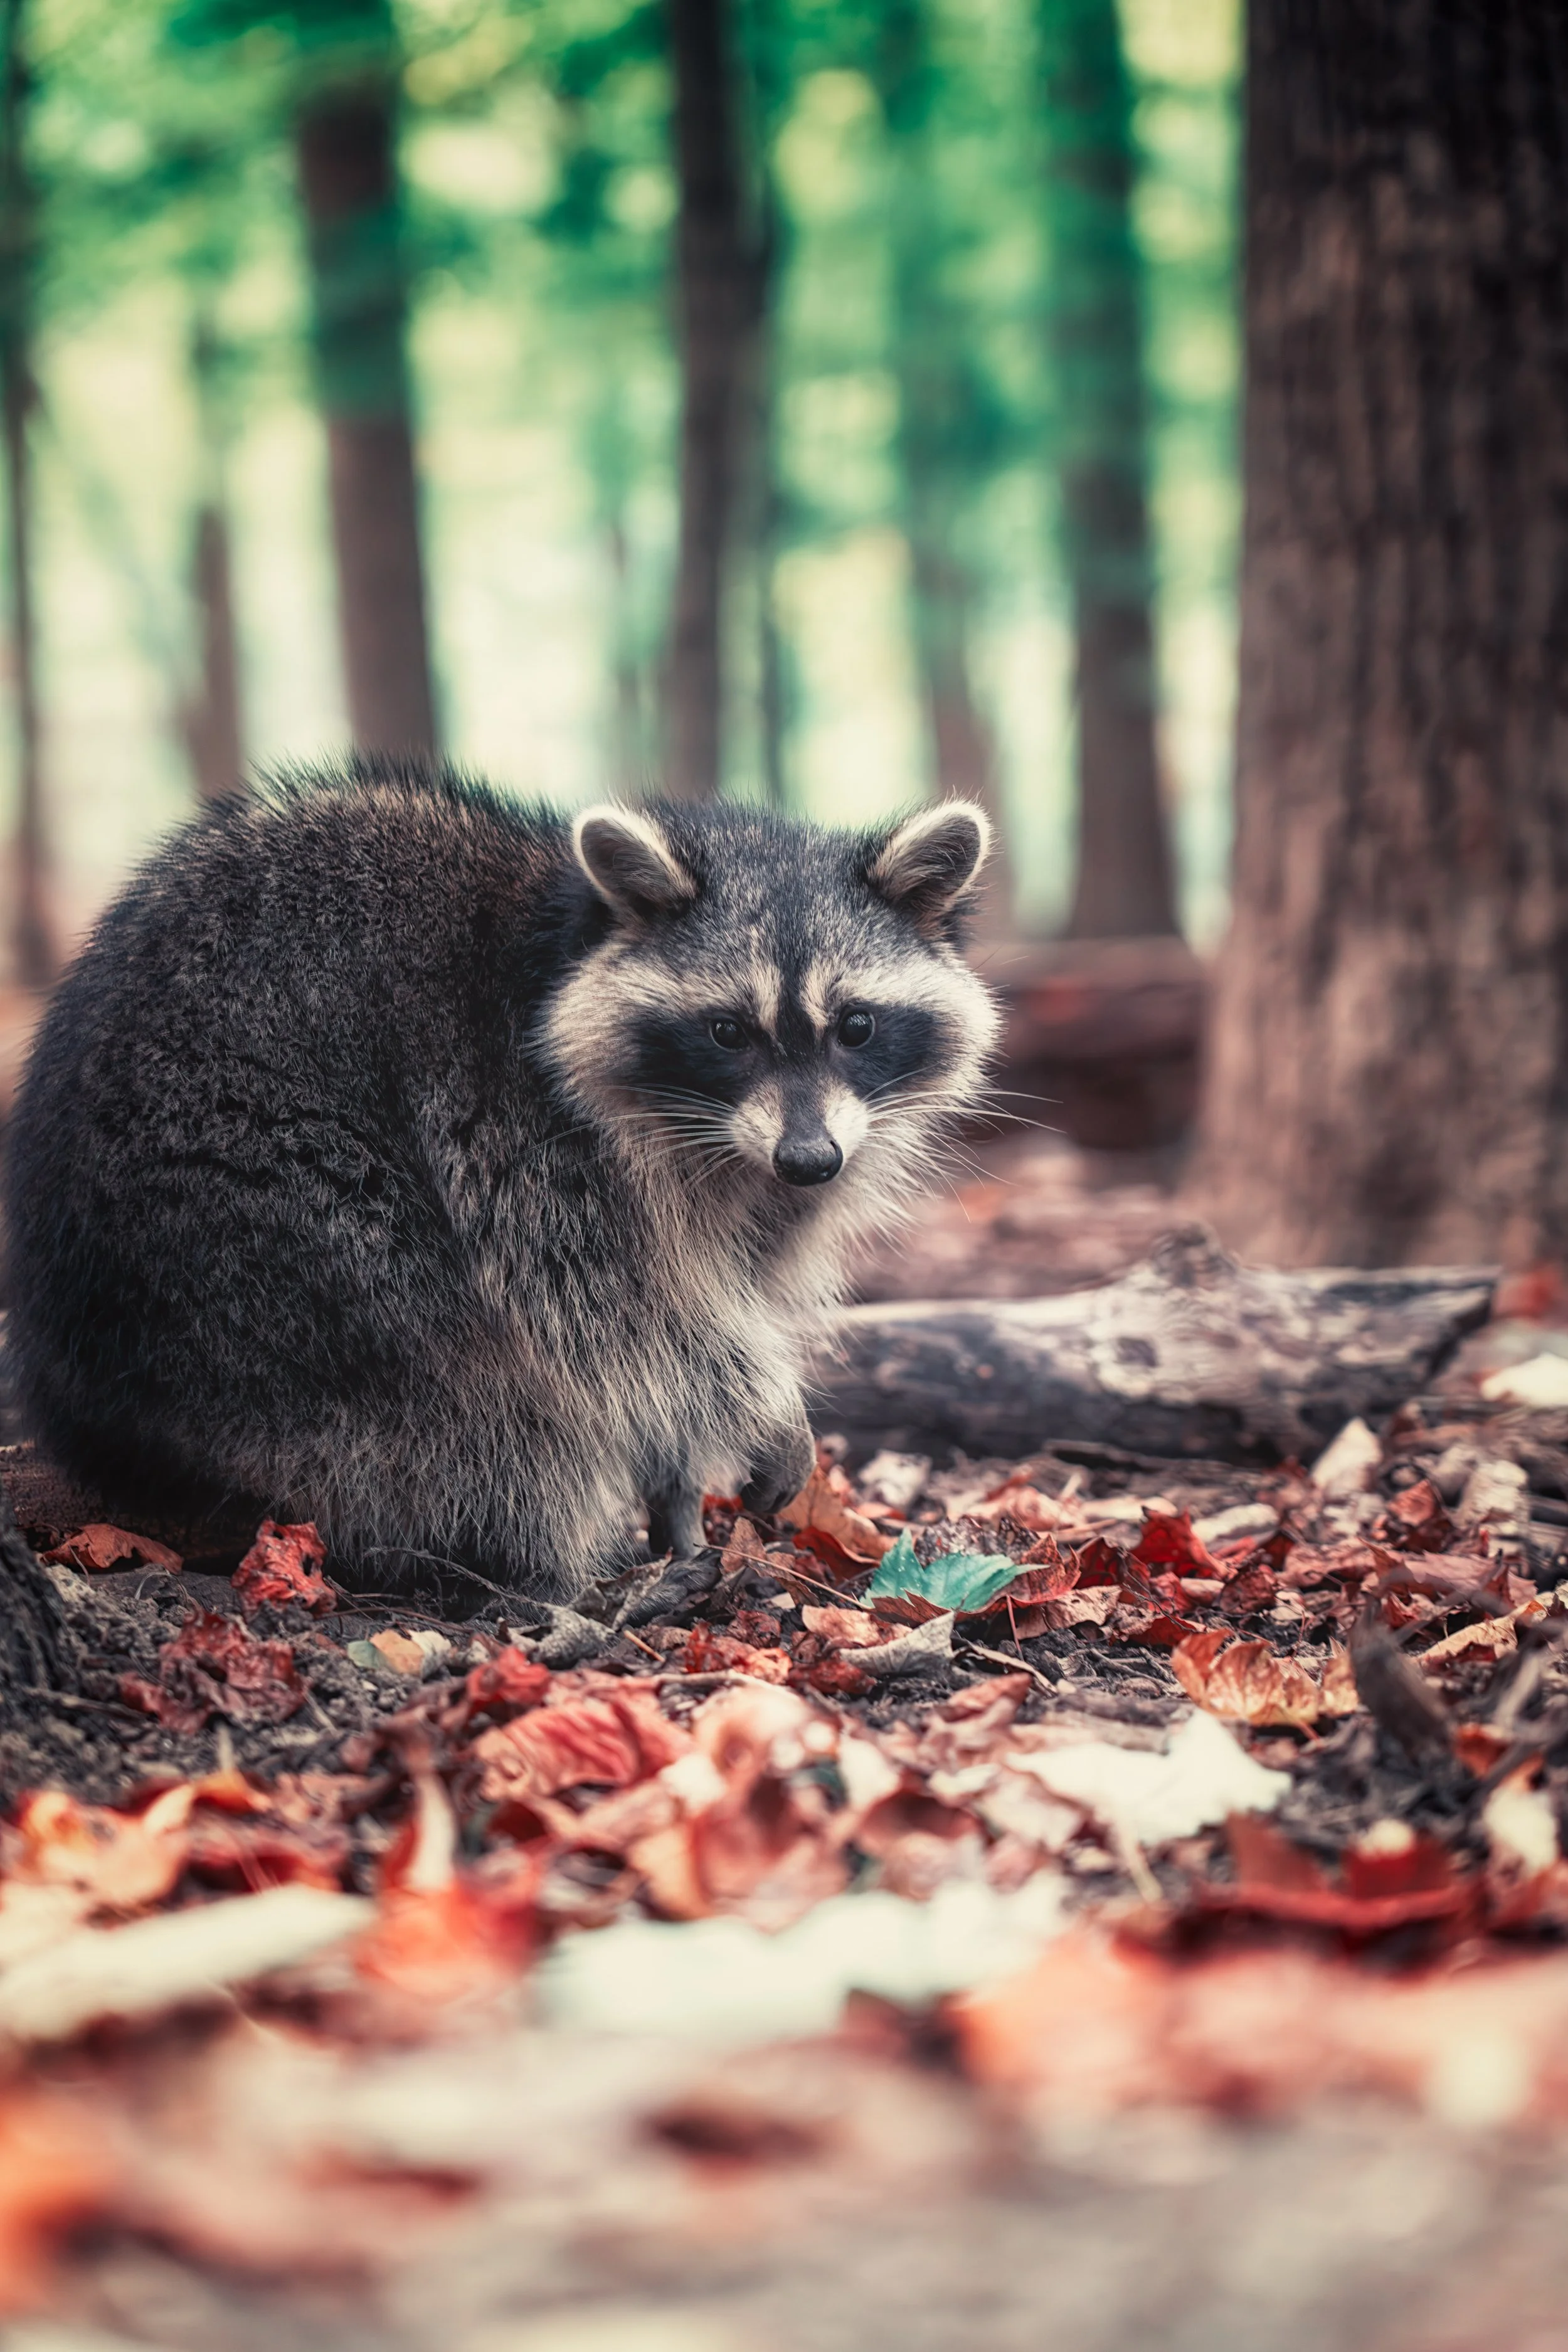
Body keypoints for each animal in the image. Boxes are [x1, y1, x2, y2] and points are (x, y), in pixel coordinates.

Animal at [3, 761, 998, 1602]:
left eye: (856, 1026)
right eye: (727, 1031)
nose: (810, 1161)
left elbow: (714, 1304)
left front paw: (680, 1490)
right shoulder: (523, 1141)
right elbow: (636, 1326)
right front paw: (764, 1410)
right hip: (271, 1257)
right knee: (483, 1404)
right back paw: (559, 1570)